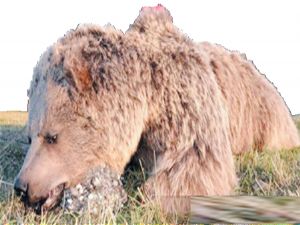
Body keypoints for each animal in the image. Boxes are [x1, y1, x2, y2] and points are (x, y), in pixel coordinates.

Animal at [14, 4, 300, 213]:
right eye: (30, 137)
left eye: (52, 136)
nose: (22, 187)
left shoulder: (186, 101)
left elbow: (196, 162)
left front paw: (150, 197)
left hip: (267, 117)